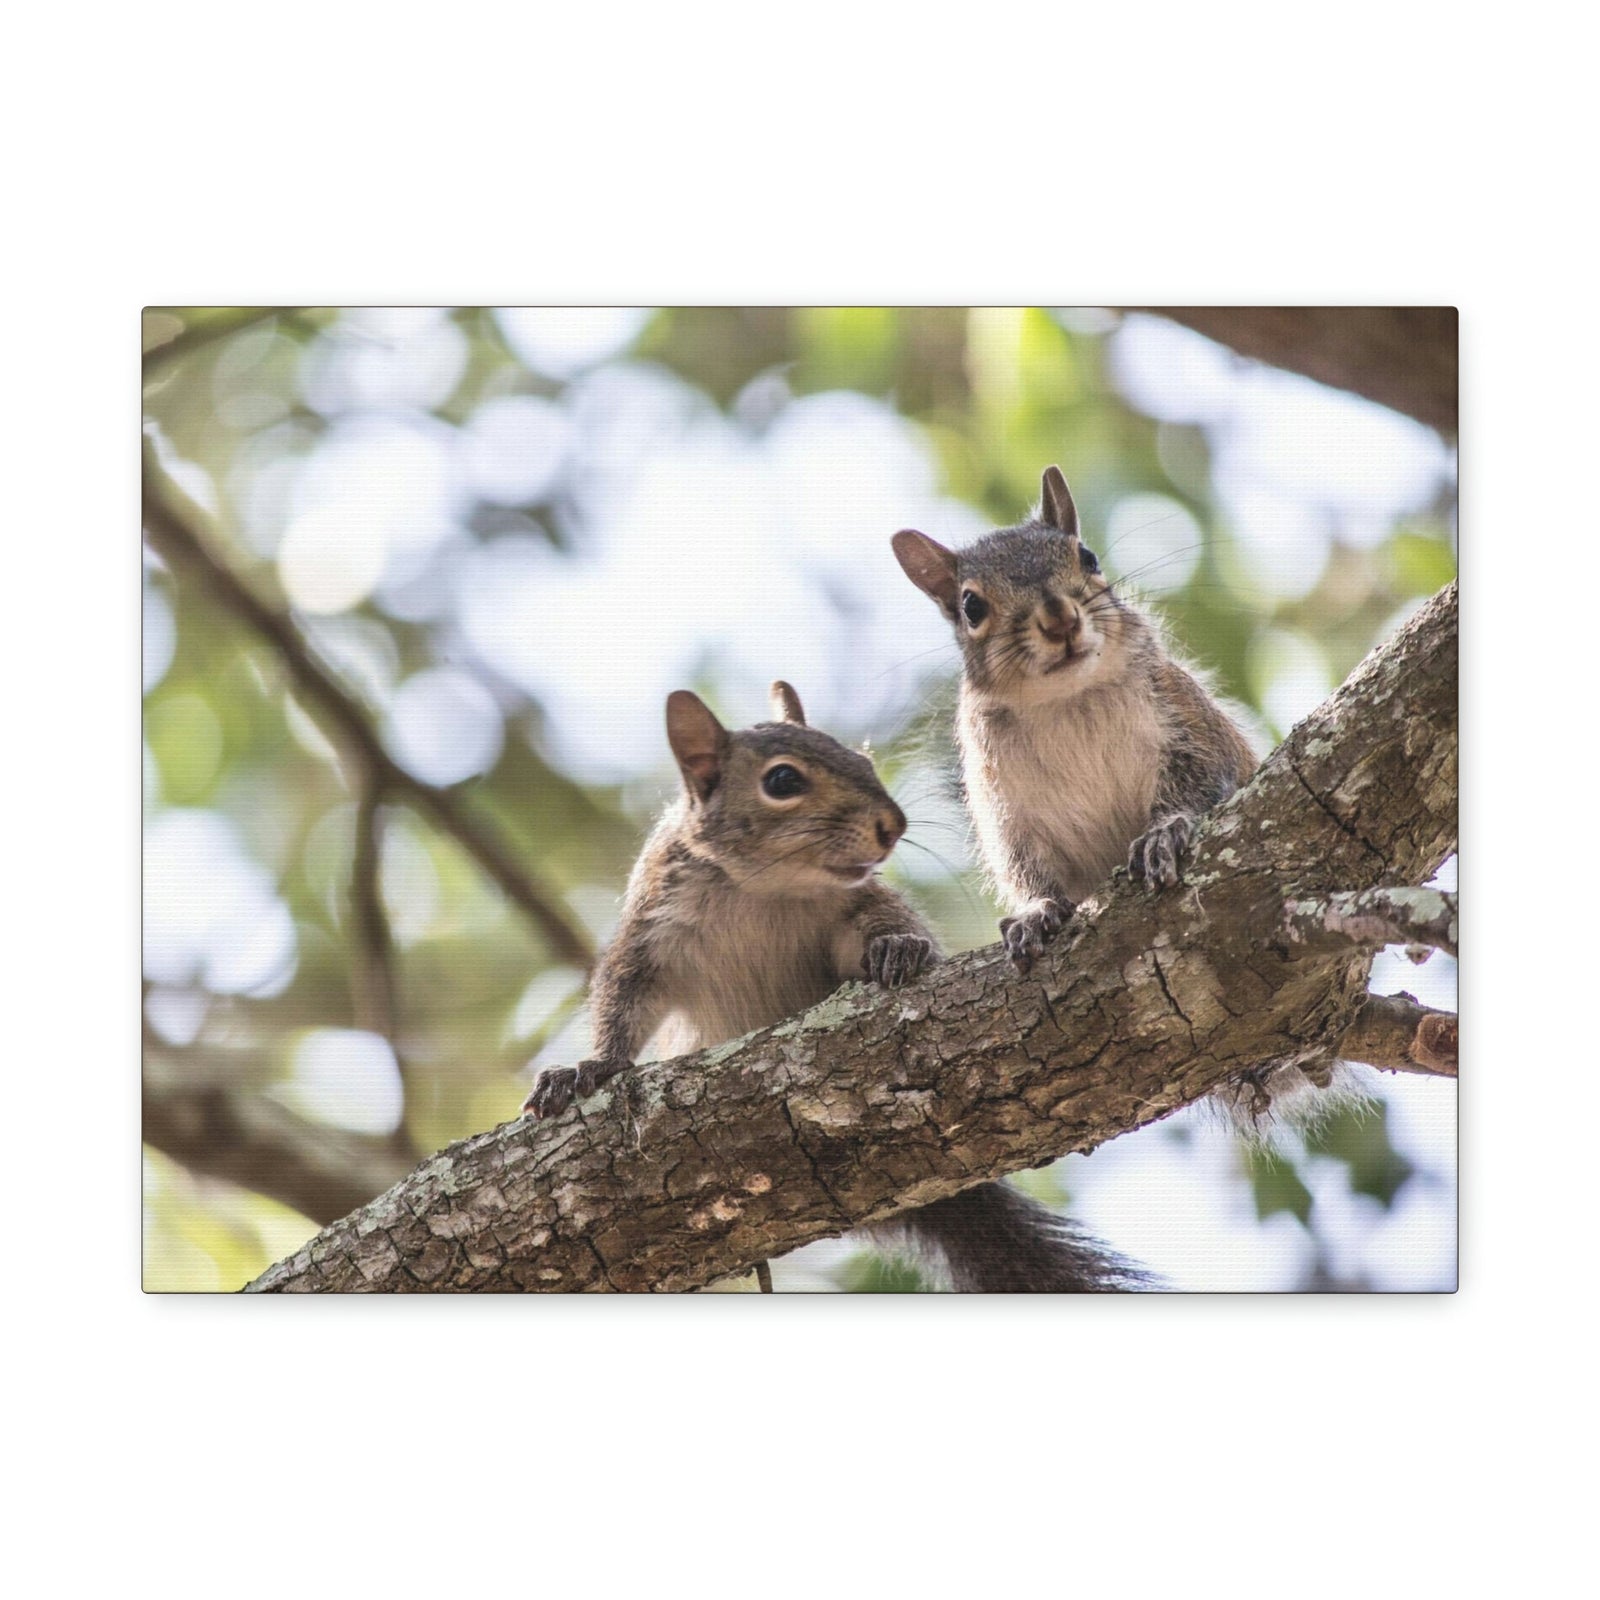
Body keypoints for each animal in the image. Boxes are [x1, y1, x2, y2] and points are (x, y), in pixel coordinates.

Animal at [522, 680, 1148, 1291]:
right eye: (782, 780)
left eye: (864, 761)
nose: (893, 825)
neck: (764, 890)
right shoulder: (652, 929)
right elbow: (621, 1000)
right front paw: (589, 1069)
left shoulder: (855, 905)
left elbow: (881, 930)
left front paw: (898, 949)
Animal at [893, 466, 1353, 1125]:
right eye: (971, 606)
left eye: (1087, 557)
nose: (1059, 618)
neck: (1063, 698)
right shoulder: (1004, 809)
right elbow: (1025, 868)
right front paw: (1034, 914)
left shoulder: (1188, 725)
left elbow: (1201, 785)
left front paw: (1163, 834)